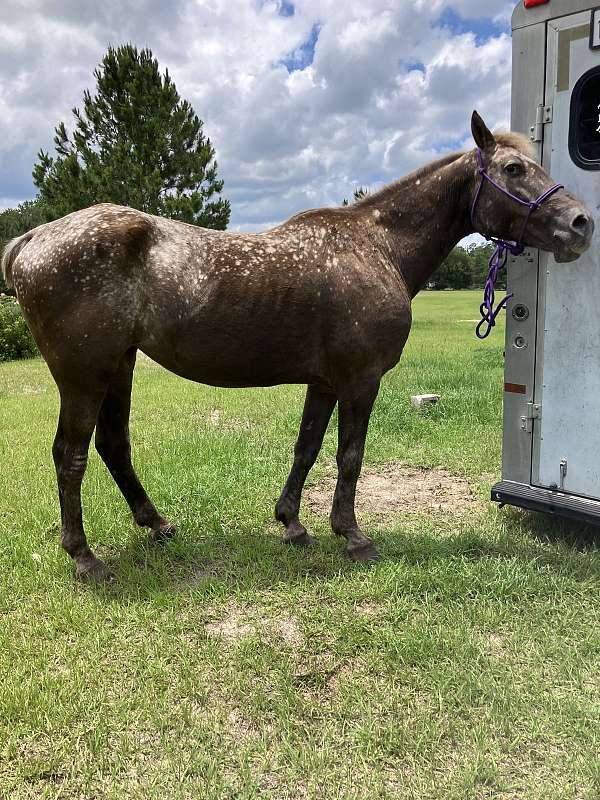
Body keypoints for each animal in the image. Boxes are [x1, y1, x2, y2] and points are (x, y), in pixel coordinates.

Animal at [2, 111, 592, 580]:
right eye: (513, 170)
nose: (581, 223)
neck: (375, 246)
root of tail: (31, 240)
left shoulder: (325, 382)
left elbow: (306, 448)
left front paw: (292, 524)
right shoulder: (360, 381)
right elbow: (349, 455)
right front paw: (352, 536)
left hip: (117, 367)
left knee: (113, 446)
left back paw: (157, 525)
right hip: (84, 375)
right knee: (71, 456)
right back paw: (84, 557)